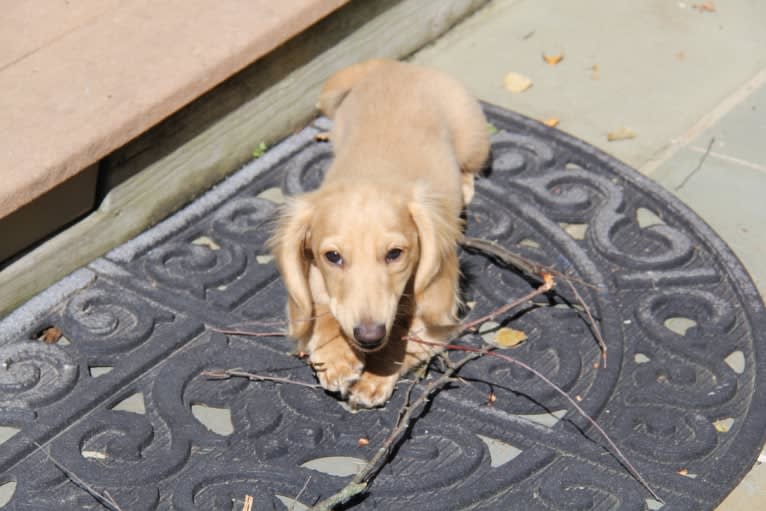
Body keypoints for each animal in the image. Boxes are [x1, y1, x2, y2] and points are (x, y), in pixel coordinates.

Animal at [270, 58, 492, 408]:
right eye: (333, 257)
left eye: (395, 254)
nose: (369, 336)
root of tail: (395, 66)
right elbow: (322, 309)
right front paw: (336, 357)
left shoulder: (439, 324)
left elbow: (403, 338)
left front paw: (374, 377)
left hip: (473, 140)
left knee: (470, 166)